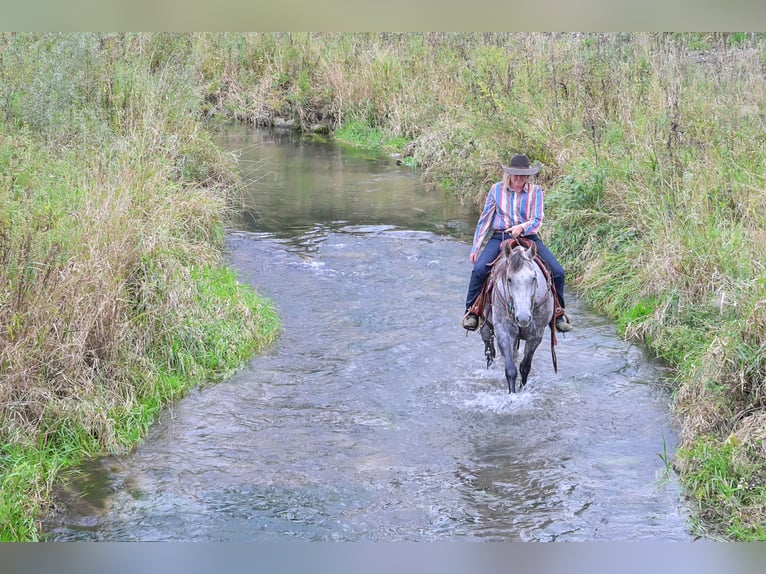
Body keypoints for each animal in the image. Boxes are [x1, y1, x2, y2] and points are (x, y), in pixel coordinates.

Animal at [479, 238, 556, 393]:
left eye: (533, 278)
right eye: (509, 279)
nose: (523, 318)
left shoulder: (536, 336)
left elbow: (524, 367)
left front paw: (522, 389)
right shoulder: (504, 331)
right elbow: (510, 369)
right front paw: (512, 394)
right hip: (486, 328)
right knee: (490, 353)